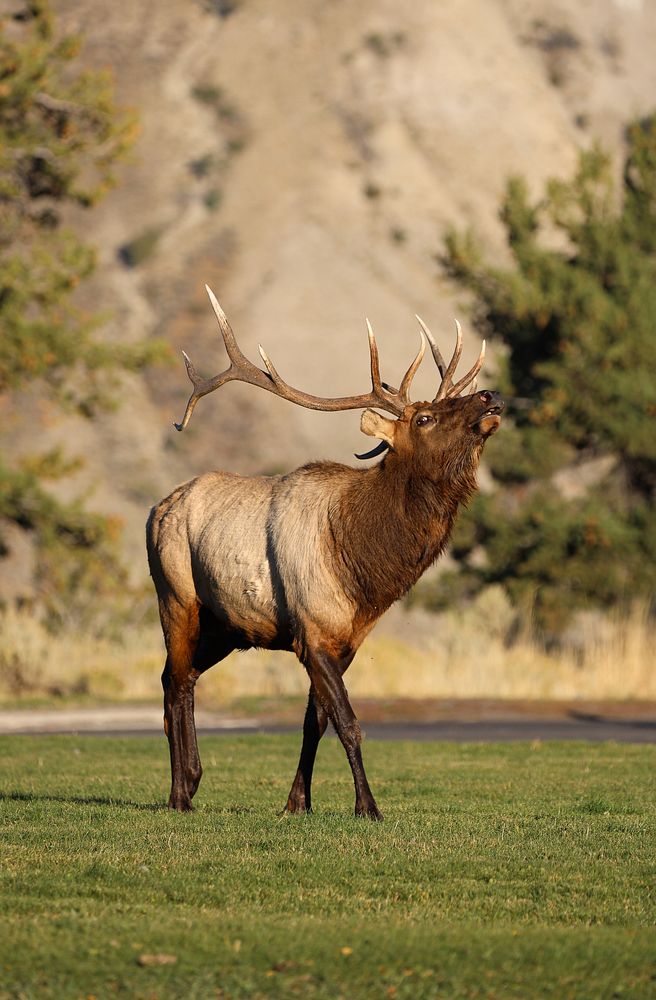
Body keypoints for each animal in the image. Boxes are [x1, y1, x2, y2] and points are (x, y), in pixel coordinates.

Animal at [146, 286, 502, 816]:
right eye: (424, 417)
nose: (490, 395)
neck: (363, 573)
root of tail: (156, 510)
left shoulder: (345, 640)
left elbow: (315, 722)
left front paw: (298, 802)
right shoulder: (311, 630)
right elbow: (348, 722)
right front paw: (368, 806)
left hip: (225, 625)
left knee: (180, 676)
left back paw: (190, 782)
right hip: (176, 596)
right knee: (175, 681)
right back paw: (178, 795)